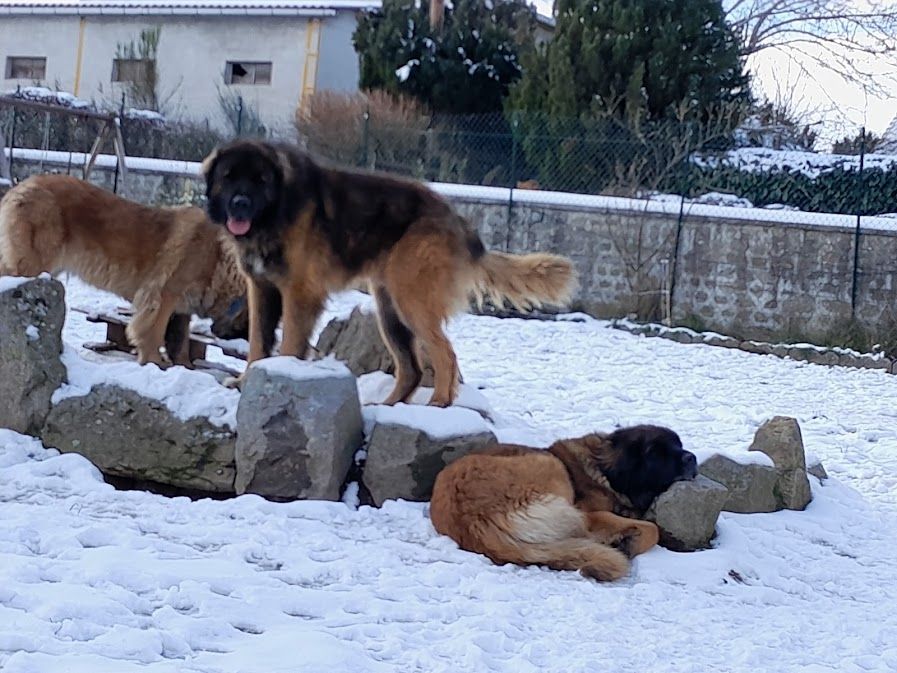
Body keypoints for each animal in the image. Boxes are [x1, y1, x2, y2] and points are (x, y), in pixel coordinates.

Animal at [0, 173, 247, 362]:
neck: (219, 262)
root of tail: (22, 185)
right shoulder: (164, 294)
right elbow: (153, 332)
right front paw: (154, 362)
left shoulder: (181, 312)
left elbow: (179, 343)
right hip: (32, 264)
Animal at [202, 140, 576, 406]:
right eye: (228, 177)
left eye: (260, 180)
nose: (239, 204)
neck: (278, 210)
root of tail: (458, 220)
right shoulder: (261, 290)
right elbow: (258, 341)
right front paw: (246, 381)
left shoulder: (299, 294)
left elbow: (290, 344)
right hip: (389, 311)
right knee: (411, 369)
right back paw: (388, 406)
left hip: (411, 302)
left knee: (445, 354)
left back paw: (439, 404)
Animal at [430, 428, 696, 580]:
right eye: (656, 453)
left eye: (679, 445)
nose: (691, 458)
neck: (601, 466)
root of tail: (474, 523)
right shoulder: (593, 512)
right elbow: (653, 529)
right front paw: (629, 541)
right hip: (551, 467)